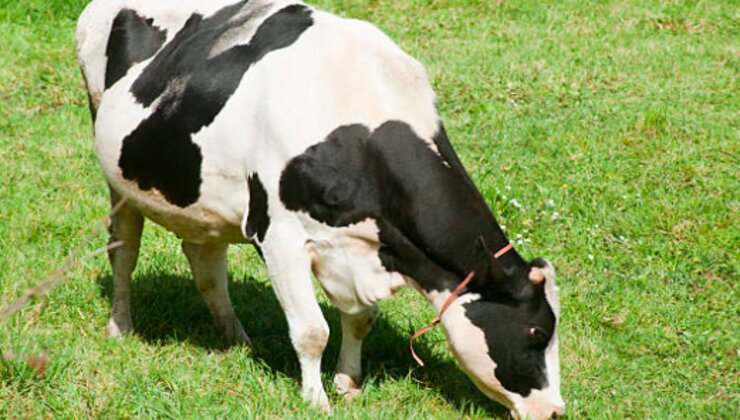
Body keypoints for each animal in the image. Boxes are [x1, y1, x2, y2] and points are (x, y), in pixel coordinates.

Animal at [76, 0, 564, 418]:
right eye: (538, 332)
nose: (556, 411)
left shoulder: (359, 246)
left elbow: (361, 319)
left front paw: (348, 382)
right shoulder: (279, 236)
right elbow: (312, 331)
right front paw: (316, 399)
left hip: (204, 200)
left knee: (205, 262)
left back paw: (237, 339)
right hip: (116, 174)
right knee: (124, 251)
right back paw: (121, 327)